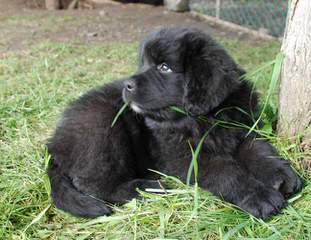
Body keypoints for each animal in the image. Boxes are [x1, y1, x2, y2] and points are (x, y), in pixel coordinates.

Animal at [47, 27, 304, 218]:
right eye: (143, 64)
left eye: (164, 67)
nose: (127, 85)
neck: (204, 118)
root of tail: (54, 144)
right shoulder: (186, 157)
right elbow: (226, 171)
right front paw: (259, 196)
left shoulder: (242, 129)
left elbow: (259, 150)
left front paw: (281, 175)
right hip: (102, 127)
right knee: (94, 185)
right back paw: (148, 187)